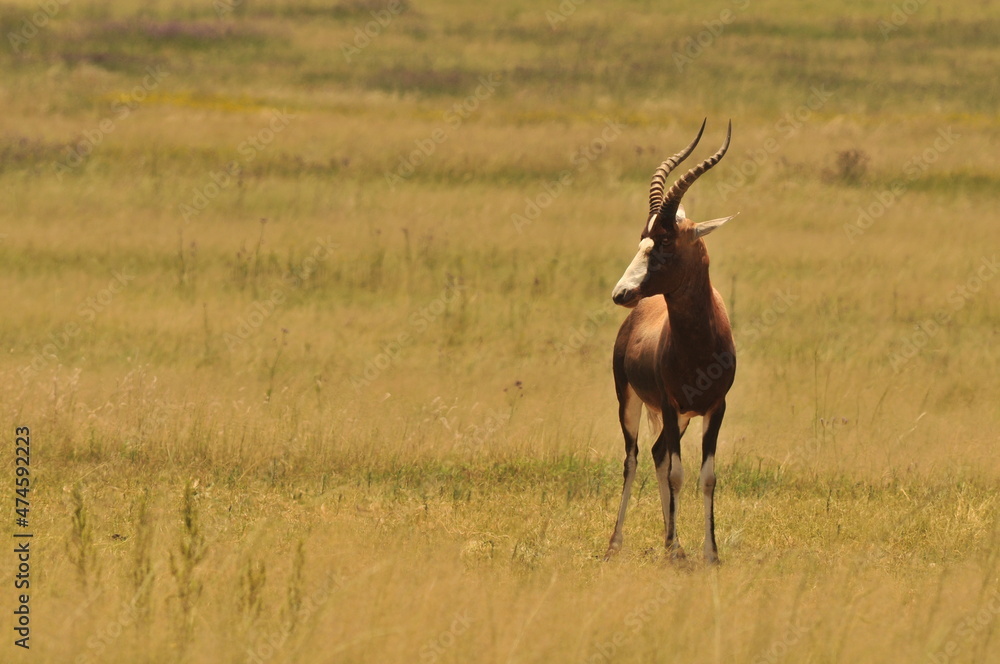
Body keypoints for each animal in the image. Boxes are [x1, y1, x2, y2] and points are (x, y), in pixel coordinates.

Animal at [605, 120, 736, 564]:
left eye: (664, 241)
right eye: (642, 238)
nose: (621, 293)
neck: (698, 345)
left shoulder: (715, 407)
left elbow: (707, 477)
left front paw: (710, 554)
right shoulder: (668, 402)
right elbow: (678, 474)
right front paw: (680, 551)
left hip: (679, 418)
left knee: (659, 453)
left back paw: (671, 543)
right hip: (631, 402)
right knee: (634, 459)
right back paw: (619, 544)